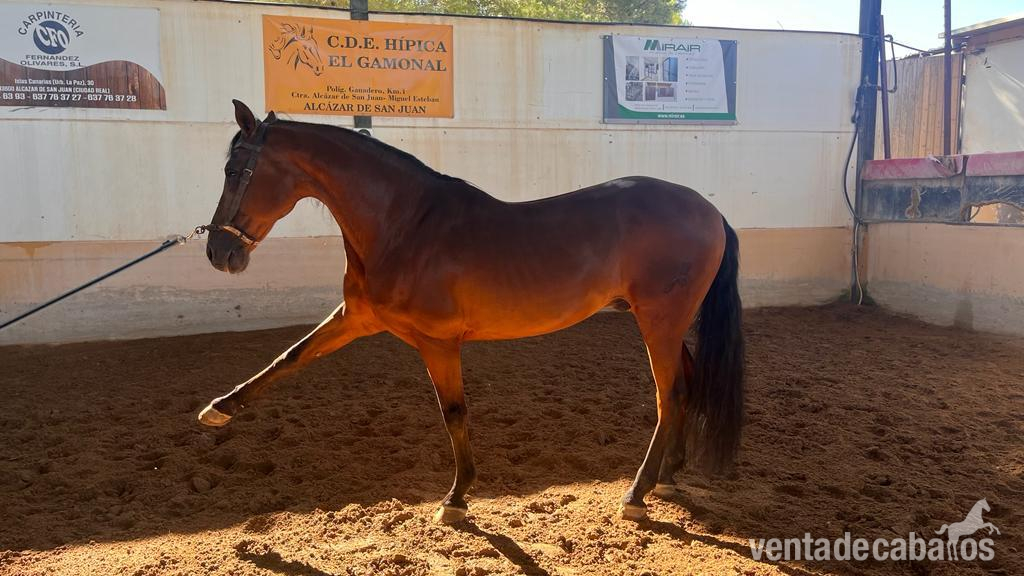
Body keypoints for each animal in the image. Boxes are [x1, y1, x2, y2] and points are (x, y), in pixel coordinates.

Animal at [199, 100, 745, 524]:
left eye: (234, 171)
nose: (220, 254)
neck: (406, 227)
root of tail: (711, 212)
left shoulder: (439, 343)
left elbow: (454, 412)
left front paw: (457, 498)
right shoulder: (357, 318)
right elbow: (289, 357)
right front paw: (219, 410)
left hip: (659, 320)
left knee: (668, 395)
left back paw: (636, 493)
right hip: (667, 324)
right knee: (686, 385)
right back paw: (668, 478)